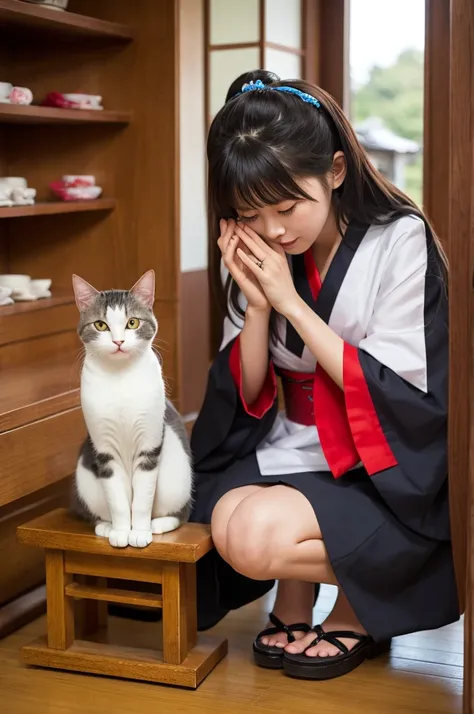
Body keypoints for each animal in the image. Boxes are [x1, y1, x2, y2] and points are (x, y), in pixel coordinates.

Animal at [71, 270, 193, 548]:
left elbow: (142, 499)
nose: (118, 341)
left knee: (181, 513)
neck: (120, 378)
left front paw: (138, 531)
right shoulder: (105, 452)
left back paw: (158, 524)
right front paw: (120, 531)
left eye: (133, 323)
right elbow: (118, 500)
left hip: (178, 478)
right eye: (101, 325)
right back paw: (105, 526)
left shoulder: (149, 447)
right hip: (86, 483)